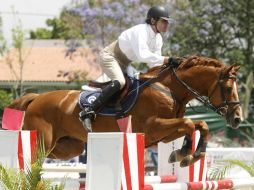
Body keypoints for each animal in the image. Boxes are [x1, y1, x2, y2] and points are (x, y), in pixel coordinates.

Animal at [7, 55, 242, 167]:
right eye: (228, 87)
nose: (238, 119)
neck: (170, 89)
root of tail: (36, 98)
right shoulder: (152, 127)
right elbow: (189, 123)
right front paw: (183, 154)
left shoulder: (163, 135)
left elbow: (200, 124)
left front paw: (189, 155)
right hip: (44, 140)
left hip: (68, 147)